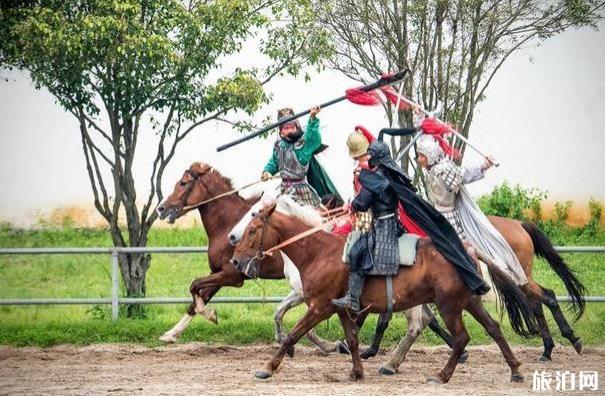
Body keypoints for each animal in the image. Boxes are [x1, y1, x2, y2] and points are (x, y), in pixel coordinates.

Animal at [231, 203, 536, 382]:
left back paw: (439, 374)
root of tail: (468, 250)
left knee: (460, 337)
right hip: (470, 301)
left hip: (449, 305)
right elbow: (352, 340)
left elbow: (293, 334)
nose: (235, 260)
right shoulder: (341, 308)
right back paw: (515, 370)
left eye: (253, 230)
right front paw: (356, 371)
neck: (319, 252)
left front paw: (268, 367)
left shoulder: (319, 307)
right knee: (494, 328)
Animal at [358, 215, 584, 364]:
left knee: (548, 297)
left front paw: (366, 350)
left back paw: (569, 340)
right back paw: (548, 350)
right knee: (538, 303)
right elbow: (428, 321)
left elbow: (384, 320)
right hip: (520, 280)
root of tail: (518, 224)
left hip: (519, 277)